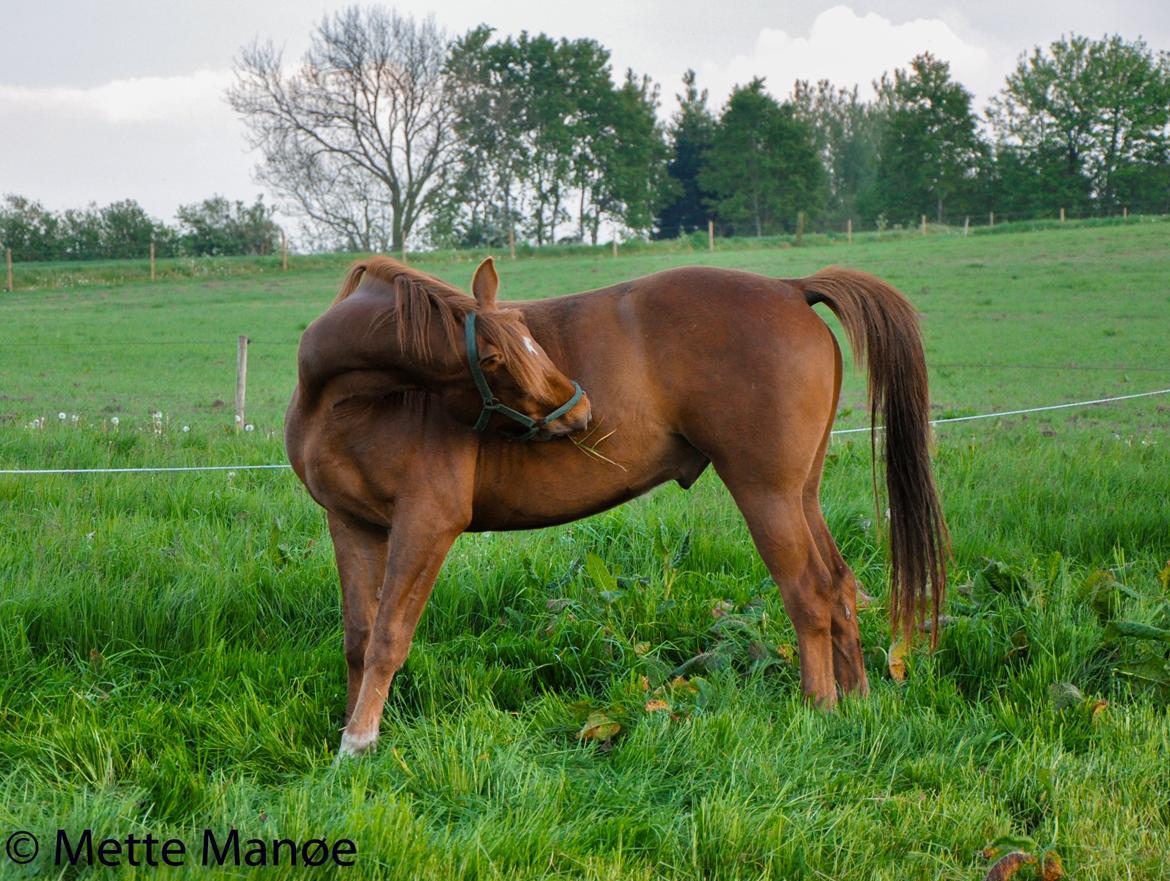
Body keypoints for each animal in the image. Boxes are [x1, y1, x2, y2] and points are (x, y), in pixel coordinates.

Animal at [285, 253, 950, 758]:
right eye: (496, 356)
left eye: (529, 336)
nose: (580, 411)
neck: (345, 403)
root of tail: (791, 289)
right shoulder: (353, 526)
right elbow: (359, 636)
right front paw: (351, 728)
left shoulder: (425, 525)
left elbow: (389, 636)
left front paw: (359, 743)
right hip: (800, 495)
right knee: (838, 585)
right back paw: (855, 703)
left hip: (768, 495)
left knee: (807, 591)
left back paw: (819, 710)